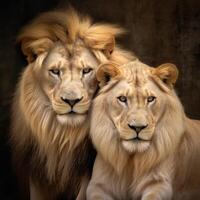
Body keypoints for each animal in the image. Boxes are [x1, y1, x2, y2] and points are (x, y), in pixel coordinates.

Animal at [87, 61, 200, 200]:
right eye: (122, 99)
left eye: (150, 99)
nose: (138, 127)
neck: (131, 161)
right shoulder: (97, 185)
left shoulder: (159, 183)